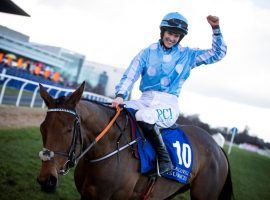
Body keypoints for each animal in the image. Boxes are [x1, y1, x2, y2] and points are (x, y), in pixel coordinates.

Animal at [37, 81, 233, 200]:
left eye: (69, 130)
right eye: (42, 128)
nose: (47, 180)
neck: (108, 149)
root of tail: (218, 148)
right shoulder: (86, 195)